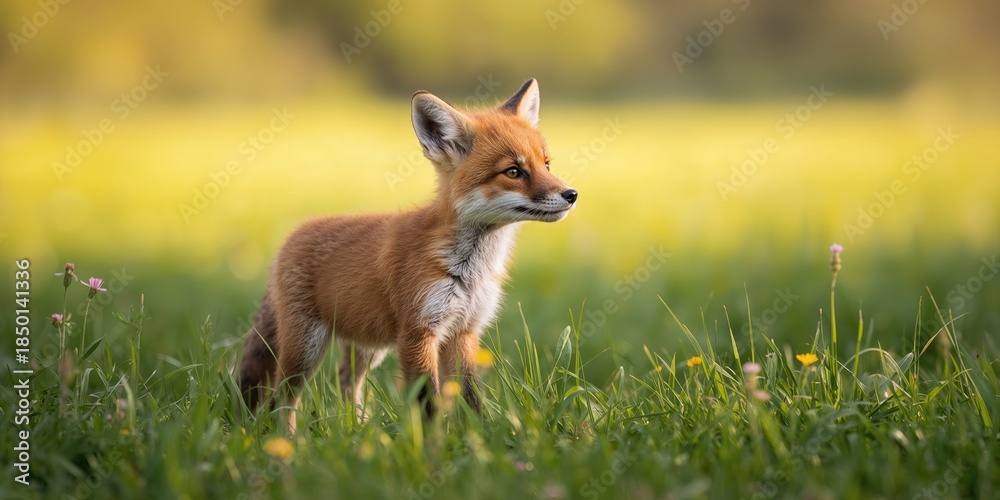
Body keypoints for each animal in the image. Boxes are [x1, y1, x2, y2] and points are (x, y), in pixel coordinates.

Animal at [237, 79, 577, 433]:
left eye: (546, 164)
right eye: (513, 171)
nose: (571, 194)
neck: (469, 269)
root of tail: (292, 235)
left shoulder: (464, 331)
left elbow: (471, 397)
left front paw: (482, 436)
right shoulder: (417, 333)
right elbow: (427, 401)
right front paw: (433, 442)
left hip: (368, 345)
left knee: (346, 380)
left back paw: (357, 429)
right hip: (306, 347)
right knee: (281, 396)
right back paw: (287, 440)